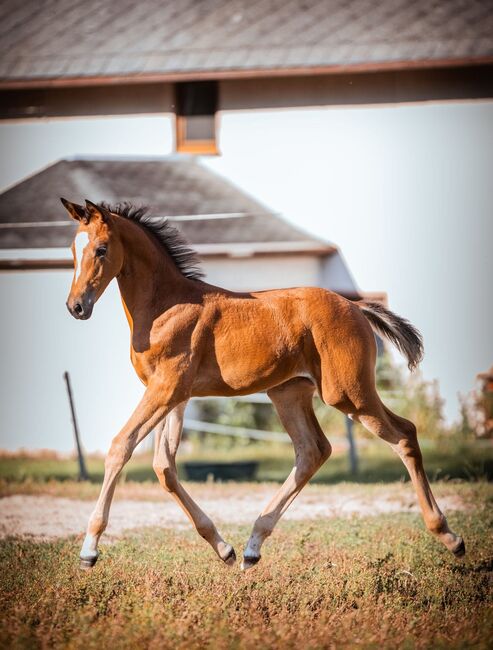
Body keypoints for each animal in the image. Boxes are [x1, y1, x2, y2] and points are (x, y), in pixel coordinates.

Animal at [59, 197, 464, 568]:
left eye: (101, 248)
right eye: (72, 251)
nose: (76, 307)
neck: (164, 306)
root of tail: (356, 307)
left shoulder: (166, 389)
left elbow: (120, 447)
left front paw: (89, 549)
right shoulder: (175, 396)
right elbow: (164, 467)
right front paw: (223, 548)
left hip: (348, 393)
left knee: (404, 434)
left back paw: (449, 536)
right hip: (288, 392)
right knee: (313, 450)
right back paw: (252, 547)